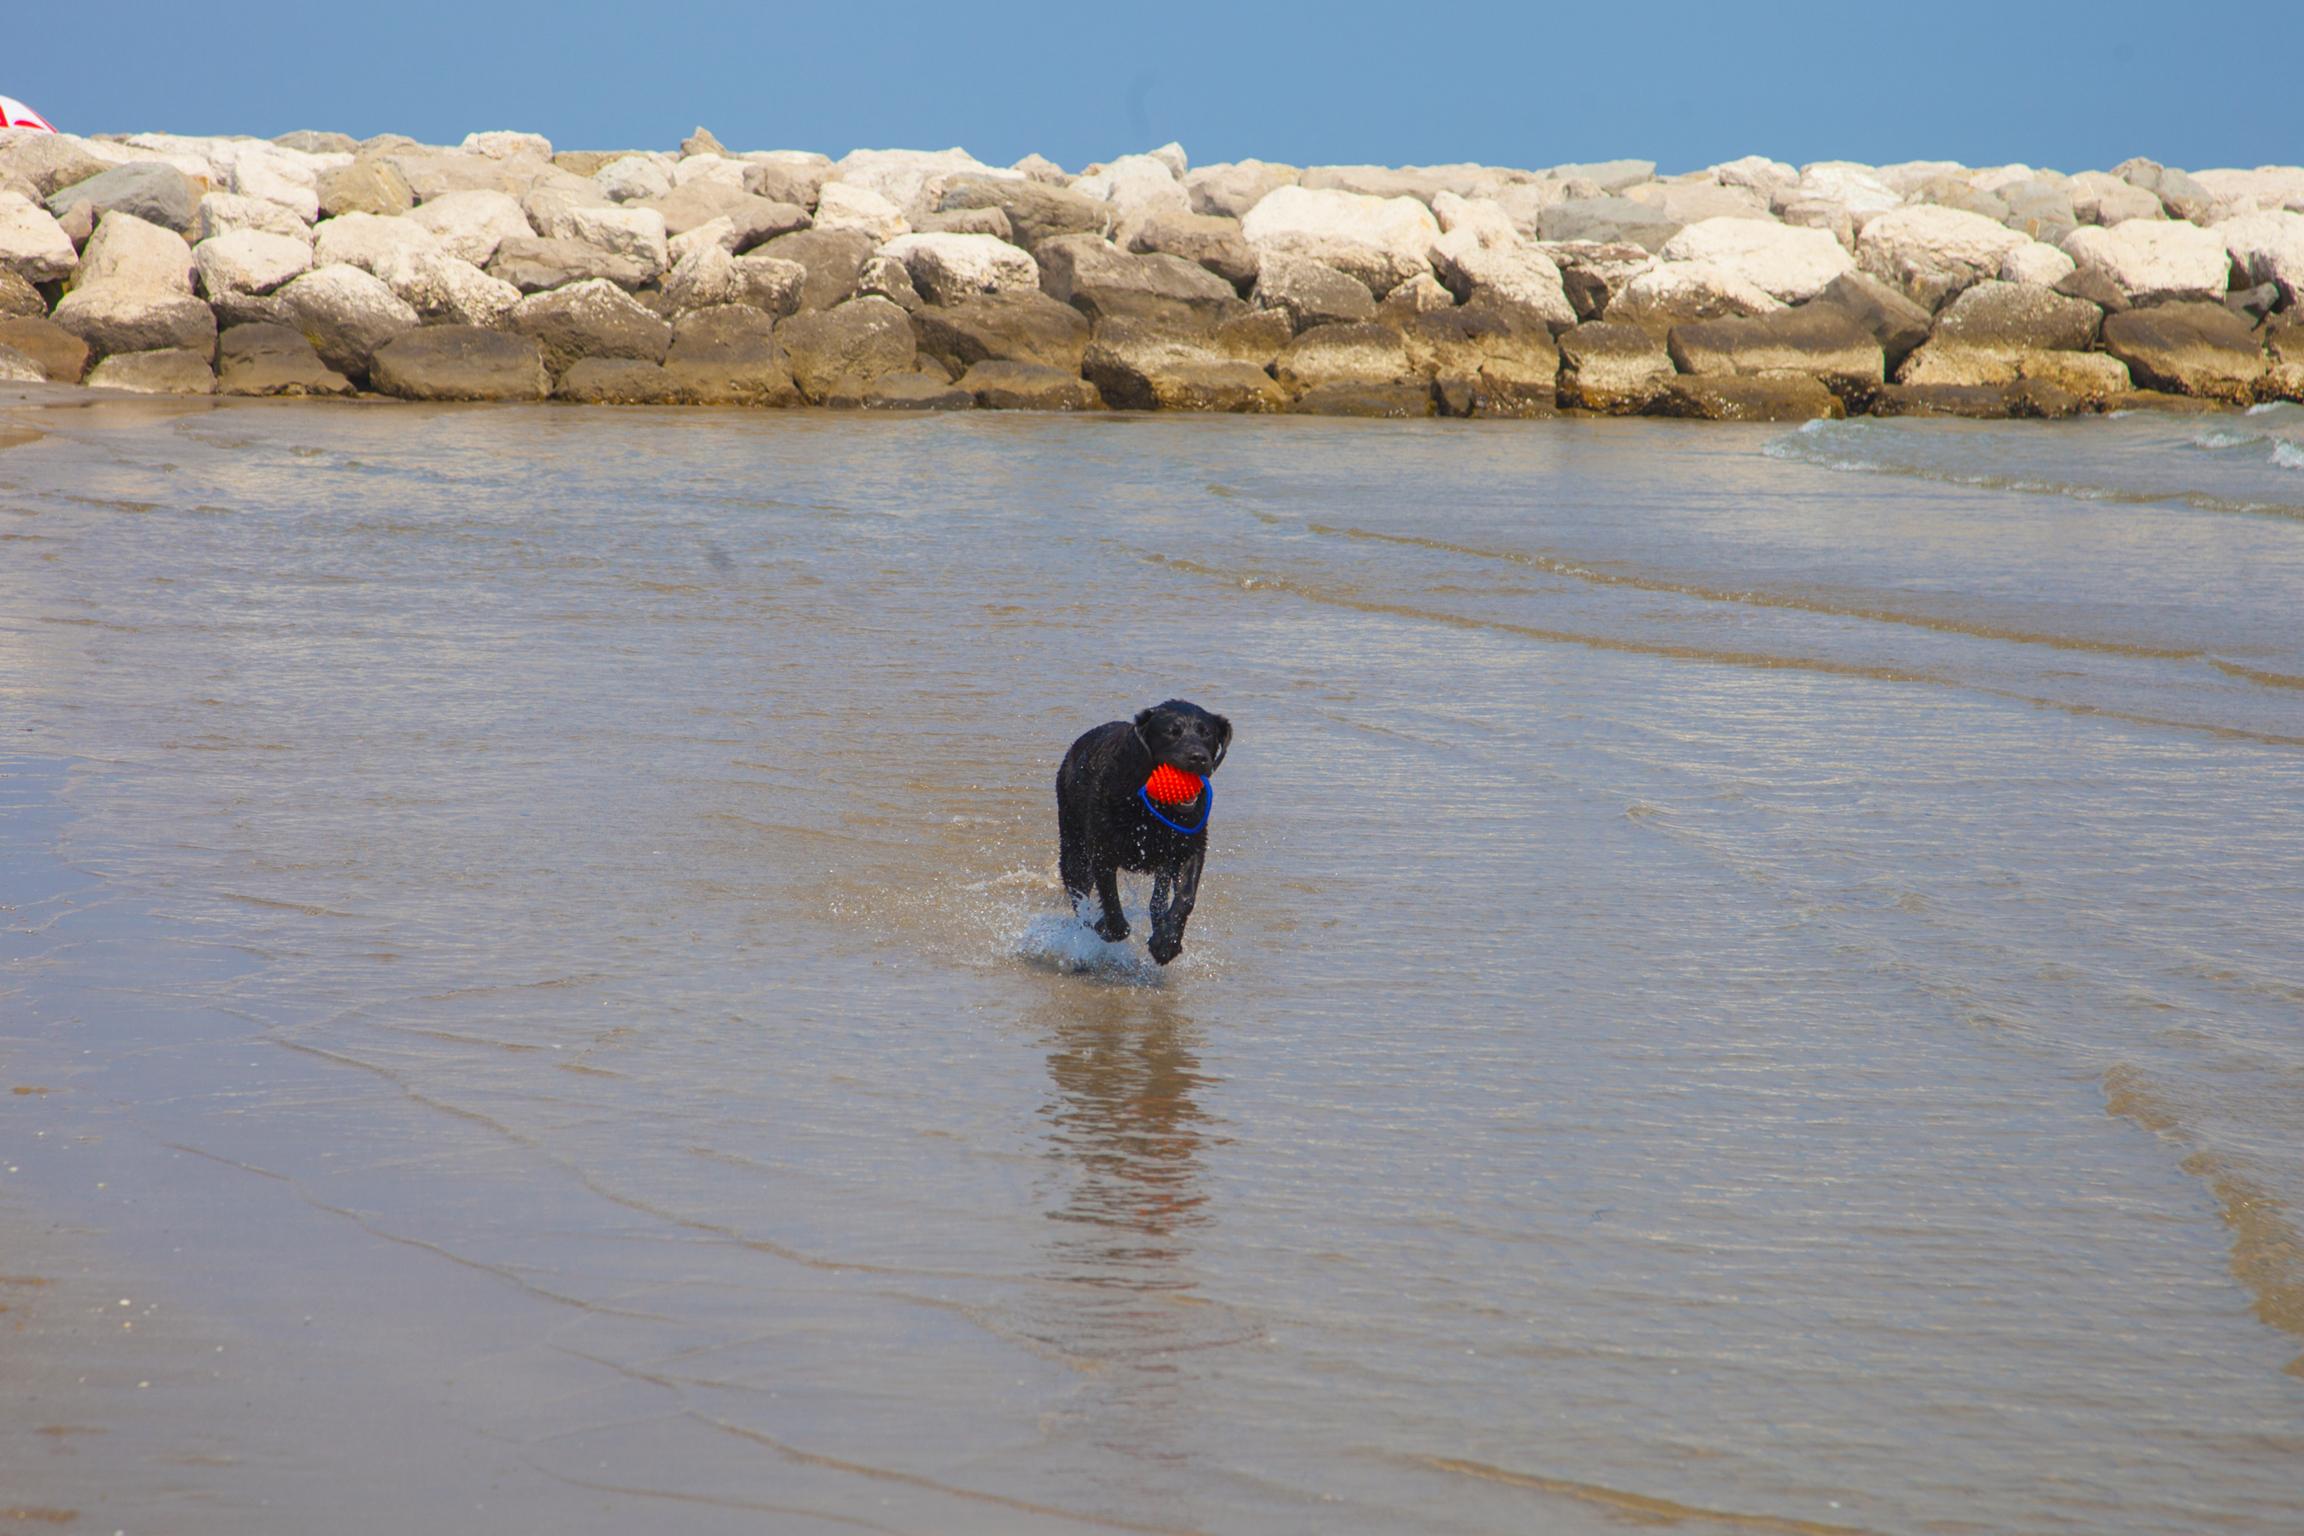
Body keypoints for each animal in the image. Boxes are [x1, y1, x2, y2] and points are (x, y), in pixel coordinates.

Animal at [1059, 704, 1234, 967]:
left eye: (1206, 734)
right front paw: (1105, 928)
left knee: (1158, 899)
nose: (1198, 757)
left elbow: (1185, 897)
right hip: (1073, 851)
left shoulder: (1190, 846)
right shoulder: (1102, 852)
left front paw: (1166, 943)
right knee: (1080, 899)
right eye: (1172, 732)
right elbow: (1112, 905)